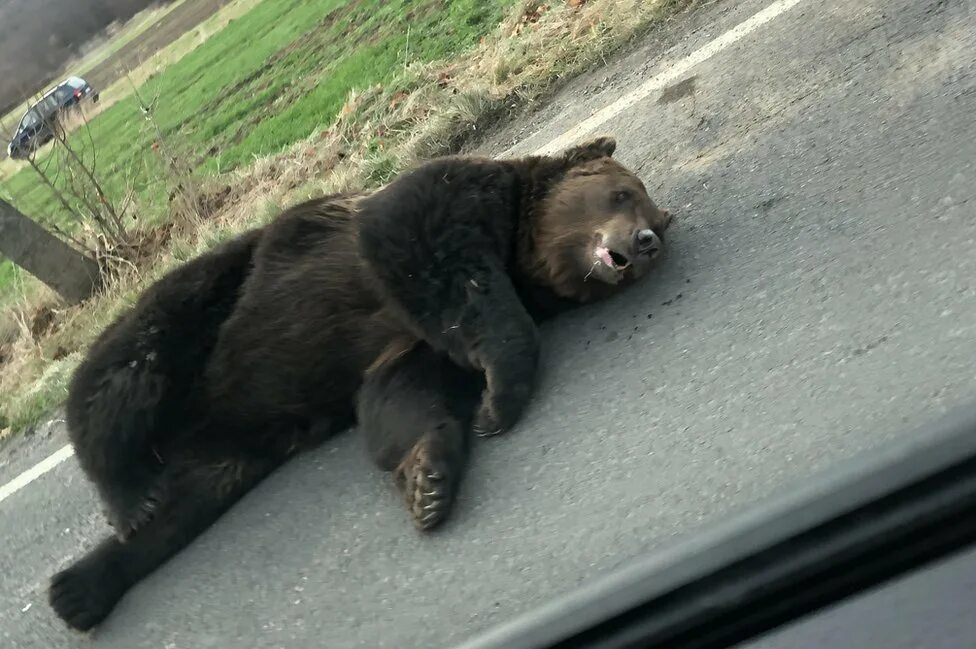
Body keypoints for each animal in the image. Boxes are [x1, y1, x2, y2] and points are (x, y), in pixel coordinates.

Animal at [45, 135, 672, 628]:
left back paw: (81, 587)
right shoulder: (436, 211)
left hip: (239, 443)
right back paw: (126, 496)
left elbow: (401, 394)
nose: (645, 241)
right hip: (206, 310)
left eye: (653, 212)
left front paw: (428, 479)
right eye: (622, 193)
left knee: (192, 497)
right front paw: (500, 399)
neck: (523, 252)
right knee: (126, 370)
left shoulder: (408, 346)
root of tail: (188, 431)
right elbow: (442, 266)